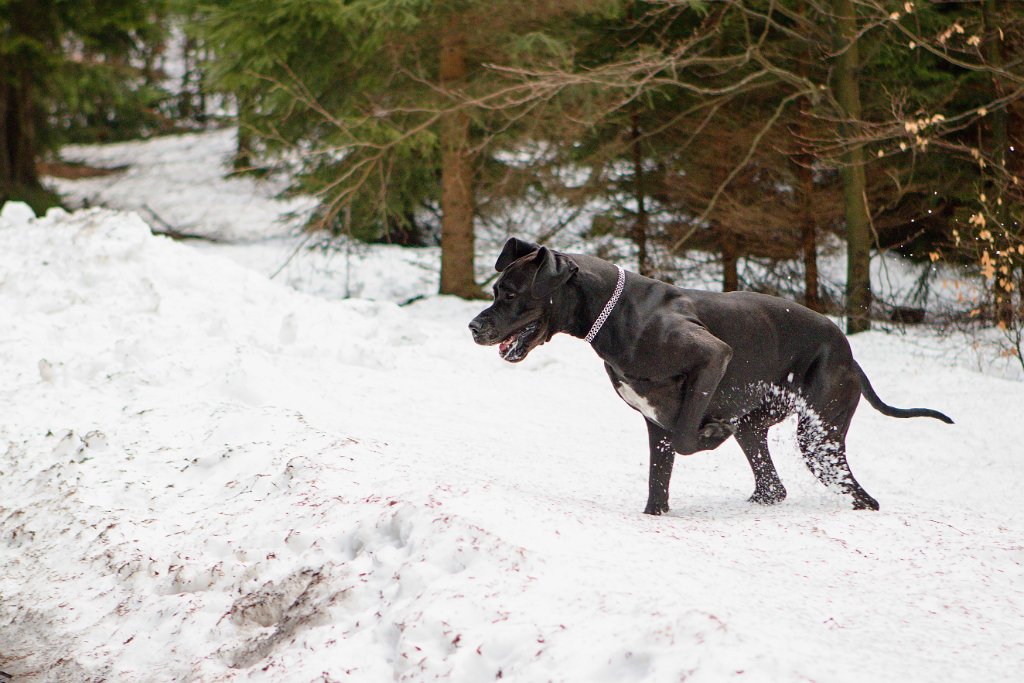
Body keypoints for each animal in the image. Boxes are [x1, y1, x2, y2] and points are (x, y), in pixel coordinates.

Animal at [468, 237, 950, 516]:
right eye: (495, 290)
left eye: (510, 294)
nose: (473, 326)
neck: (614, 312)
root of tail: (850, 354)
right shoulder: (655, 422)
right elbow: (658, 478)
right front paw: (656, 513)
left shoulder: (712, 358)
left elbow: (686, 438)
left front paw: (710, 435)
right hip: (759, 427)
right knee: (772, 485)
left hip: (818, 437)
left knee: (856, 492)